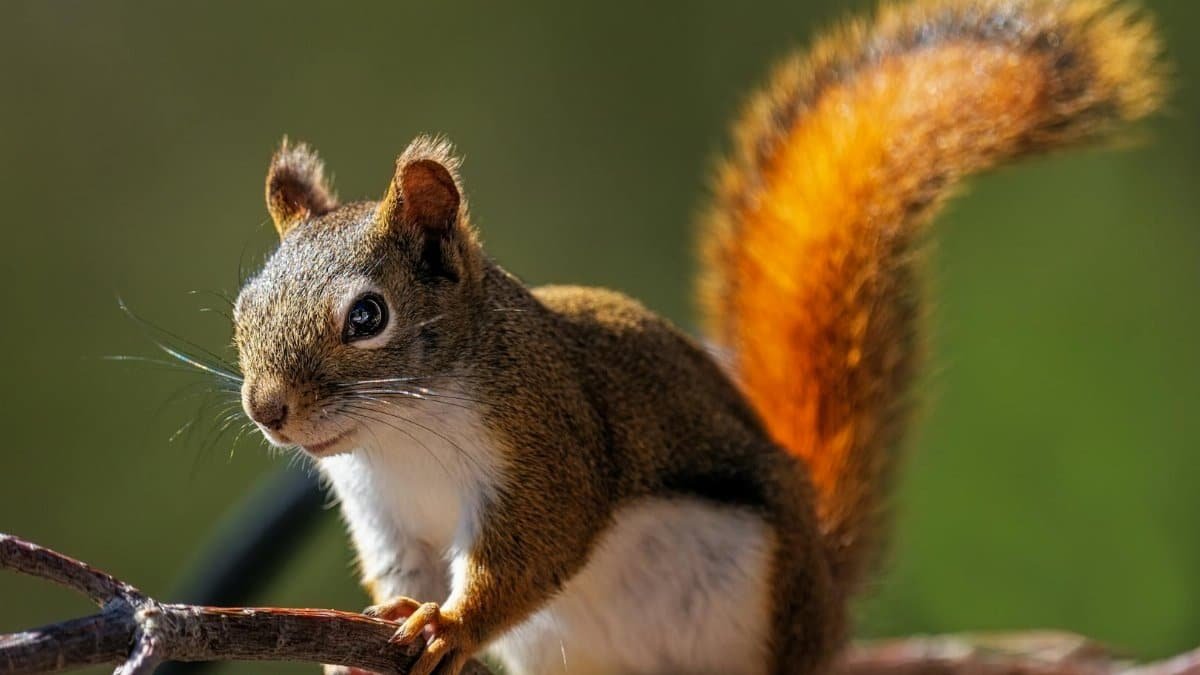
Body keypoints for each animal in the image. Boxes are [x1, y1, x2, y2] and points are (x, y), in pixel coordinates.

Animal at [230, 1, 1164, 674]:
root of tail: (825, 604)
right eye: (243, 310)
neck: (401, 434)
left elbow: (535, 549)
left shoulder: (552, 443)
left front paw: (450, 626)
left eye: (367, 316)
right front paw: (379, 631)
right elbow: (404, 572)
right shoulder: (386, 513)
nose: (268, 410)